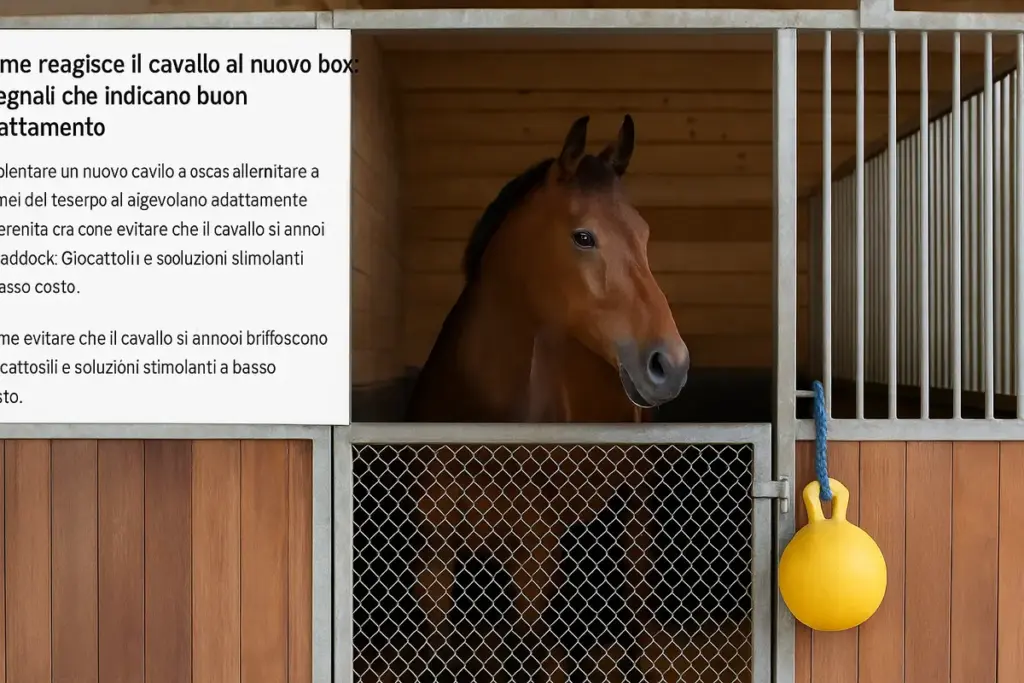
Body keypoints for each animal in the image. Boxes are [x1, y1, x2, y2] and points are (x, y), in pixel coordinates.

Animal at [401, 114, 690, 682]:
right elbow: (439, 648)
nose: (669, 364)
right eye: (584, 236)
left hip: (632, 514)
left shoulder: (534, 555)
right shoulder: (436, 554)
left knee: (631, 606)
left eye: (645, 235)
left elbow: (526, 649)